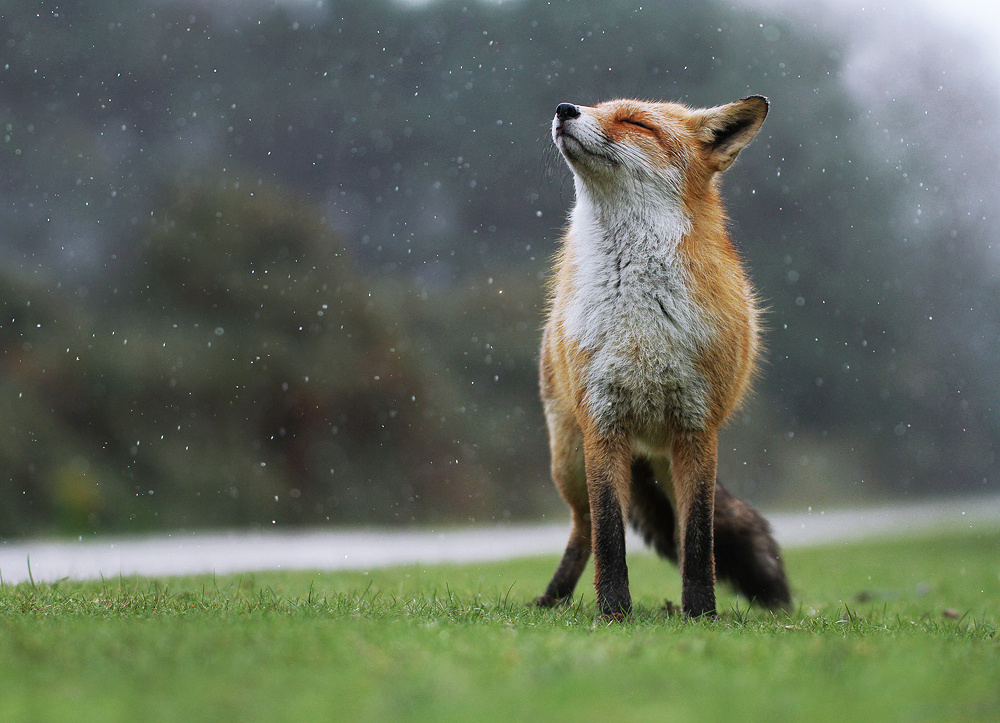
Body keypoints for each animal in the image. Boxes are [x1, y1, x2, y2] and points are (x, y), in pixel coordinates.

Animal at [536, 94, 792, 616]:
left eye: (635, 122)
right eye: (595, 105)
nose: (564, 108)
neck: (640, 320)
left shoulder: (697, 428)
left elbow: (698, 537)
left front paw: (701, 612)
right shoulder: (602, 421)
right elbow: (610, 532)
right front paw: (614, 611)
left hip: (672, 457)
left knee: (685, 524)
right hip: (568, 459)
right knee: (585, 528)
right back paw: (554, 599)